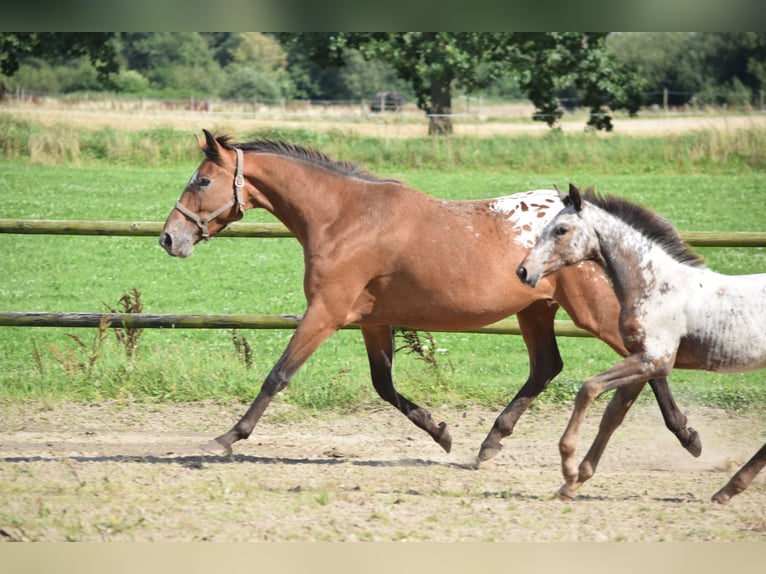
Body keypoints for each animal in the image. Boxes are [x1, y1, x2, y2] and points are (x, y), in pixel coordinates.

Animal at [159, 130, 701, 467]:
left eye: (201, 180)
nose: (169, 238)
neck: (344, 218)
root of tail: (596, 221)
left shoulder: (326, 313)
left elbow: (277, 376)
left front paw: (226, 438)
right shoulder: (372, 320)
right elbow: (384, 386)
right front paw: (441, 432)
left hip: (590, 311)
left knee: (647, 358)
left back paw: (689, 436)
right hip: (536, 310)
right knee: (548, 367)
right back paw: (489, 443)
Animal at [517, 184, 765, 503]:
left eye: (561, 229)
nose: (523, 271)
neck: (656, 286)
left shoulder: (655, 360)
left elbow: (589, 389)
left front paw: (568, 465)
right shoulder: (641, 361)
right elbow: (612, 416)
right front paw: (574, 482)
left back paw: (730, 488)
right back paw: (729, 489)